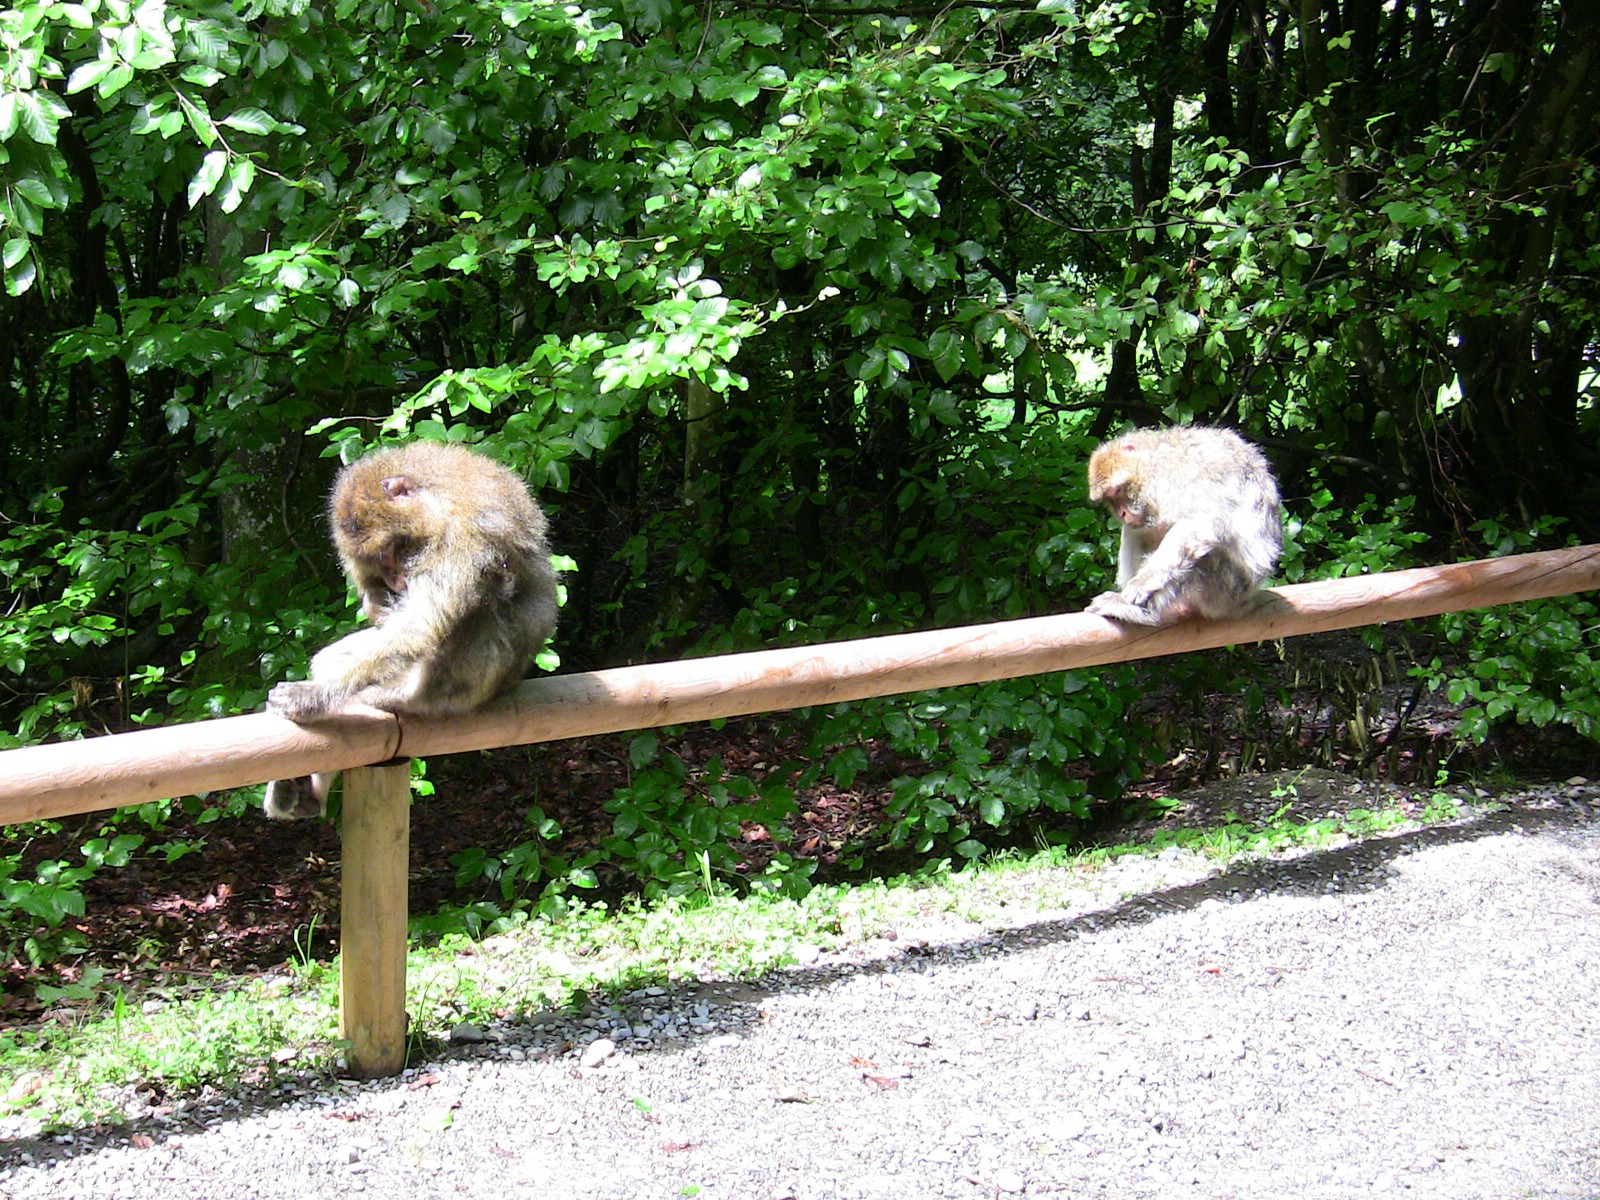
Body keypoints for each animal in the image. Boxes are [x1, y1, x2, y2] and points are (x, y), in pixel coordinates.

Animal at [263, 442, 558, 819]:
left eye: (392, 551)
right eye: (378, 561)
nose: (392, 579)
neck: (436, 499)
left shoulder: (462, 533)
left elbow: (421, 624)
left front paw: (311, 697)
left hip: (466, 685)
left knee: (477, 606)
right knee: (335, 659)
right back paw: (304, 797)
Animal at [1084, 425, 1282, 627]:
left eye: (1117, 490)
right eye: (1109, 499)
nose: (1122, 513)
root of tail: (1245, 600)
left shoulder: (1181, 473)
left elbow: (1198, 525)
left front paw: (1140, 584)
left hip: (1226, 591)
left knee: (1201, 557)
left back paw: (1140, 612)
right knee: (1135, 532)